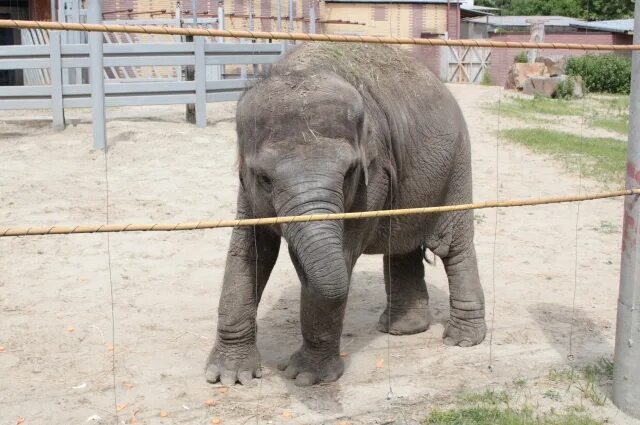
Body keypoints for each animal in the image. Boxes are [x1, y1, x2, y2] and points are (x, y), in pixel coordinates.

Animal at [205, 42, 484, 384]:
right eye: (265, 178)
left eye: (349, 171)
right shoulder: (246, 189)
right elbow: (250, 251)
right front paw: (229, 376)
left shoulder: (373, 178)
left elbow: (344, 253)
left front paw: (305, 377)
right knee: (401, 245)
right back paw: (402, 329)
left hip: (458, 163)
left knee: (454, 247)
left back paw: (463, 339)